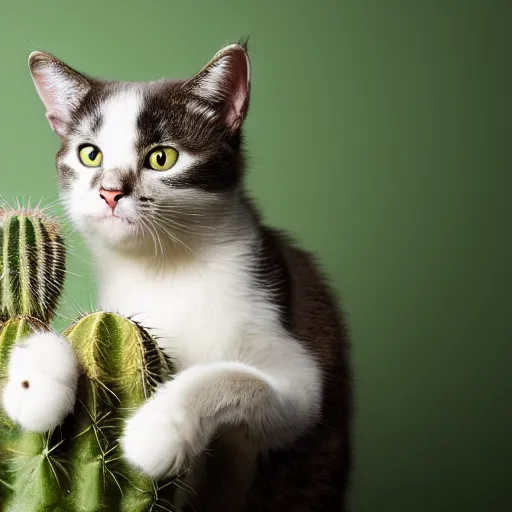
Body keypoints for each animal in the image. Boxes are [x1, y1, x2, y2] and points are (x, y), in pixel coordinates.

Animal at [1, 42, 352, 510]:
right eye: (90, 154)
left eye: (162, 157)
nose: (110, 191)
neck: (163, 268)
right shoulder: (119, 311)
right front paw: (34, 381)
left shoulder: (292, 365)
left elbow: (242, 379)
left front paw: (158, 431)